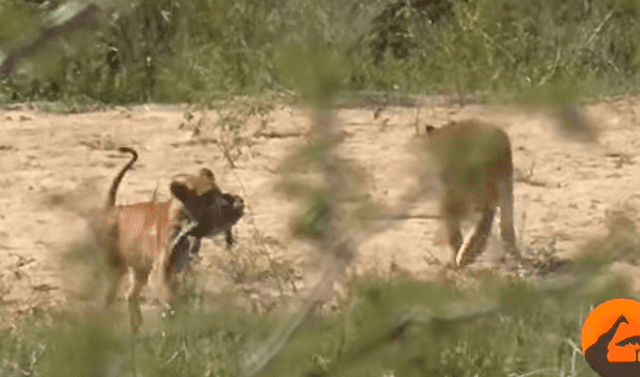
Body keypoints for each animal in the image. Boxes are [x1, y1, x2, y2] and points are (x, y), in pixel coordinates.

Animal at [94, 147, 244, 332]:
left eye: (219, 191)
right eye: (208, 197)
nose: (231, 203)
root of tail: (110, 210)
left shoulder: (182, 265)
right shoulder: (162, 267)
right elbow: (168, 295)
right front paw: (172, 318)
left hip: (140, 269)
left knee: (130, 295)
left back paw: (136, 329)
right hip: (116, 267)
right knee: (108, 297)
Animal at [424, 119, 520, 266]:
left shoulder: (451, 195)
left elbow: (452, 227)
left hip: (478, 192)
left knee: (484, 220)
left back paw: (466, 255)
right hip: (504, 187)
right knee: (504, 222)